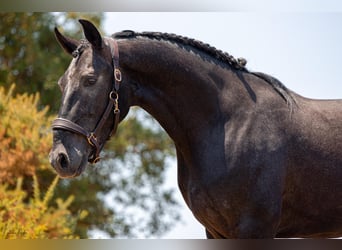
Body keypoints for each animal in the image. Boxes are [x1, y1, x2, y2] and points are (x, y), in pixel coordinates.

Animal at [48, 19, 342, 238]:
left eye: (90, 80)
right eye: (62, 82)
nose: (60, 158)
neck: (227, 125)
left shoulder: (255, 229)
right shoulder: (215, 231)